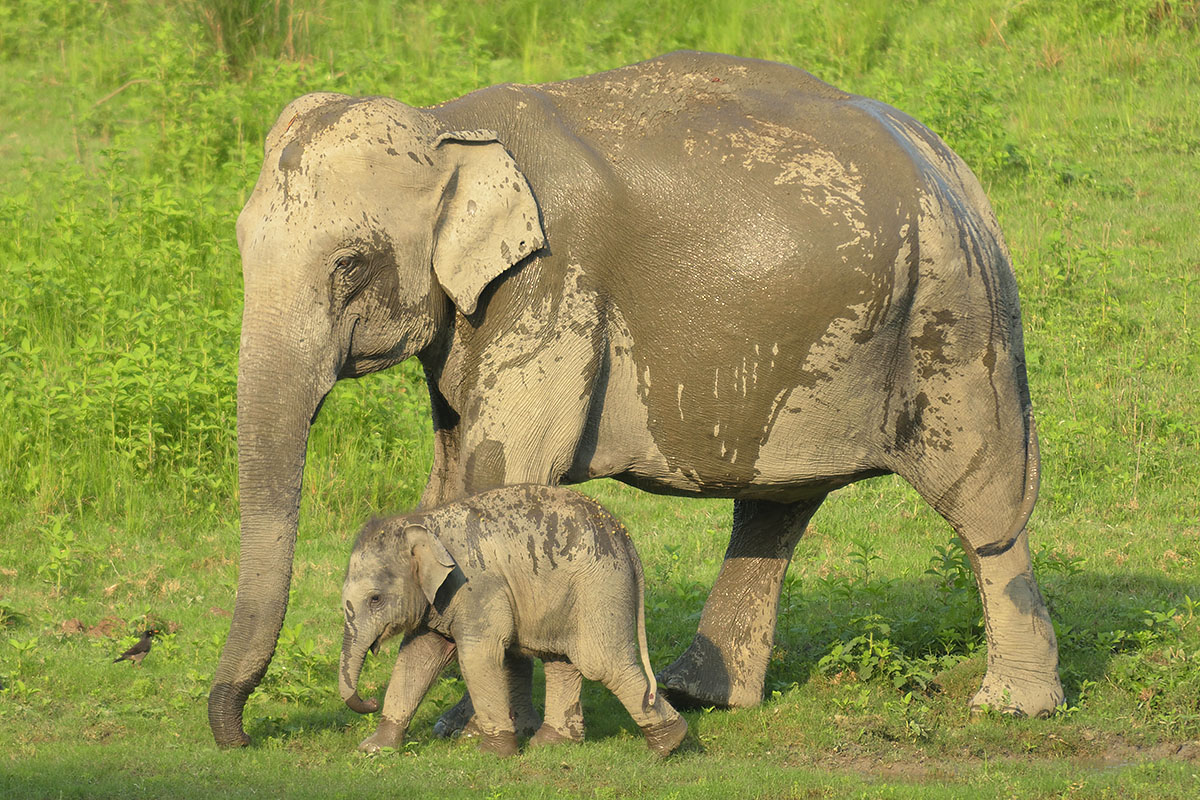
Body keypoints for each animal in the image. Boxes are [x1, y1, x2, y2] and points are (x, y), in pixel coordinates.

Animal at [338, 484, 689, 756]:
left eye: (375, 599)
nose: (369, 700)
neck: (422, 522)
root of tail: (625, 538)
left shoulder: (477, 586)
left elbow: (478, 656)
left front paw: (493, 753)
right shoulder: (437, 600)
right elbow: (417, 658)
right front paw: (373, 749)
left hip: (600, 586)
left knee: (601, 662)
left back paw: (669, 744)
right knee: (560, 660)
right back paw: (550, 744)